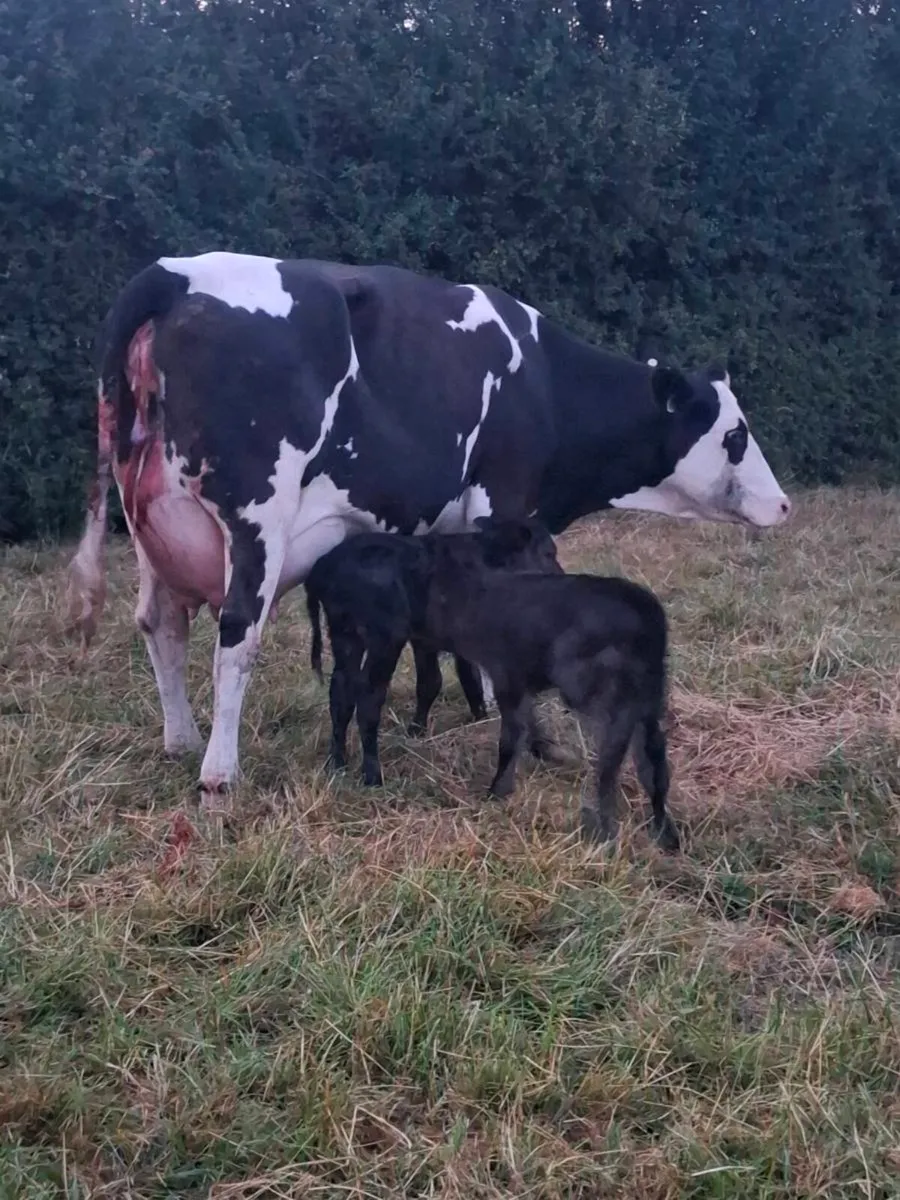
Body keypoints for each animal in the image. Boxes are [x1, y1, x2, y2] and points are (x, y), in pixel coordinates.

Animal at [304, 516, 563, 785]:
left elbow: (443, 682)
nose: (560, 575)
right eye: (548, 552)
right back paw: (373, 775)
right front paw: (544, 747)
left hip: (344, 635)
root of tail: (324, 567)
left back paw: (337, 764)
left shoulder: (431, 642)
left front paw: (427, 728)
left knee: (340, 692)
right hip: (385, 639)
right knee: (368, 697)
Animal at [423, 535, 679, 850]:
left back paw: (606, 833)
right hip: (650, 694)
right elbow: (527, 723)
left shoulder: (507, 674)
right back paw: (665, 834)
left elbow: (511, 736)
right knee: (653, 762)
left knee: (612, 760)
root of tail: (649, 619)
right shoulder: (518, 681)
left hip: (598, 691)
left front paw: (496, 793)